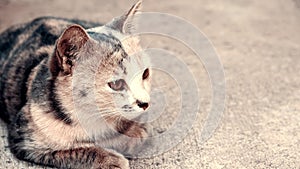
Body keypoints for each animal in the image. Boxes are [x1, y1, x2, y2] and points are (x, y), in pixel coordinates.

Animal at [0, 1, 150, 169]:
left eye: (145, 74)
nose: (145, 103)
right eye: (116, 84)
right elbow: (75, 151)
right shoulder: (26, 139)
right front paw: (110, 159)